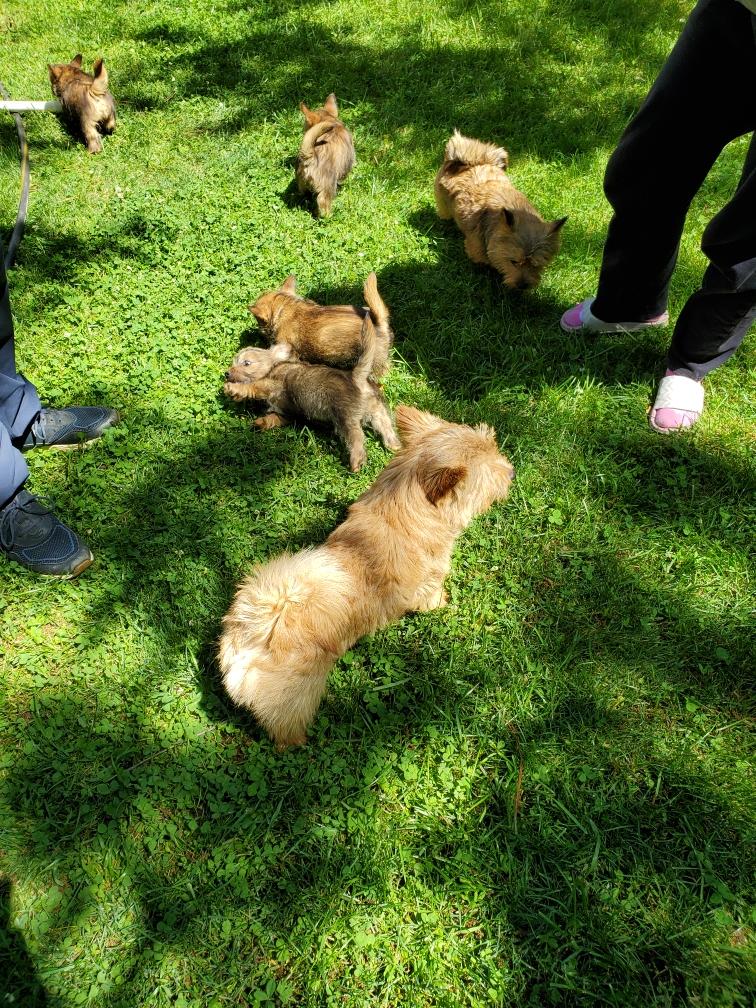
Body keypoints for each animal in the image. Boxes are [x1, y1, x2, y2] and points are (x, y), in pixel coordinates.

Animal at [218, 405, 515, 748]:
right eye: (491, 472)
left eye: (493, 444)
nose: (511, 472)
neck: (401, 504)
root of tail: (256, 624)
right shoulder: (429, 584)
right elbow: (434, 599)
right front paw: (446, 604)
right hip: (296, 699)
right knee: (285, 730)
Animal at [224, 312, 400, 472]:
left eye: (246, 363)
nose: (226, 373)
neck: (274, 367)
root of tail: (356, 377)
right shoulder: (287, 414)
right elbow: (272, 418)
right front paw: (261, 422)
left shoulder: (271, 385)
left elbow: (254, 386)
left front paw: (233, 389)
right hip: (376, 410)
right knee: (385, 425)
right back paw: (395, 445)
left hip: (345, 417)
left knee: (356, 437)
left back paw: (356, 462)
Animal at [435, 130, 566, 289]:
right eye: (514, 262)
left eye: (536, 265)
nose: (523, 286)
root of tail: (473, 162)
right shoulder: (476, 249)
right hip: (443, 203)